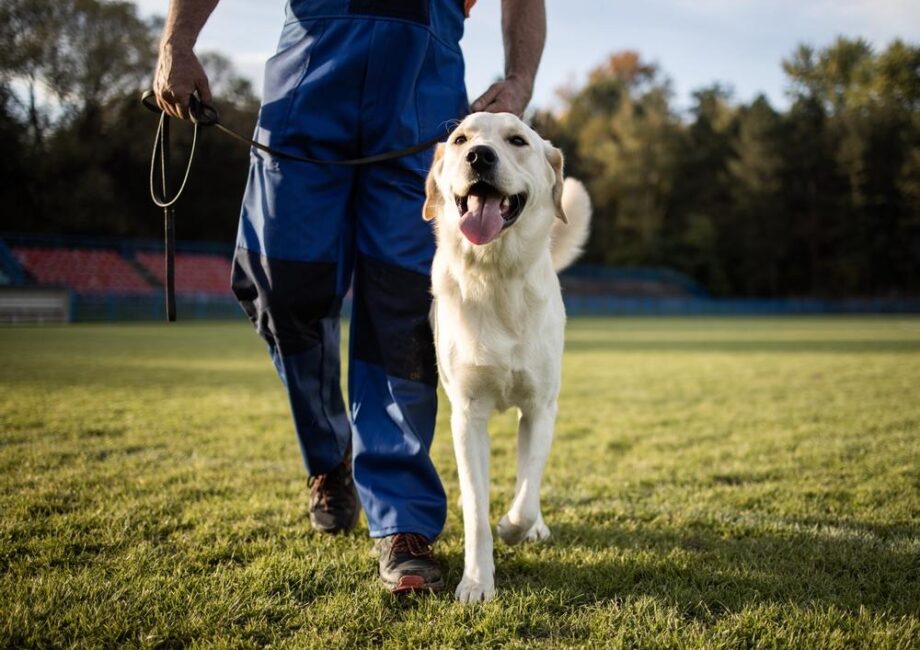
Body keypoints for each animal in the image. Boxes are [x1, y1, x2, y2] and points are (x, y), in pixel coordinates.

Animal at [422, 110, 592, 596]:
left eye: (517, 140)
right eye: (460, 140)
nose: (479, 156)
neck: (495, 276)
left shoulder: (540, 408)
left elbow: (526, 491)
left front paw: (517, 528)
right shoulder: (467, 415)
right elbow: (477, 511)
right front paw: (477, 582)